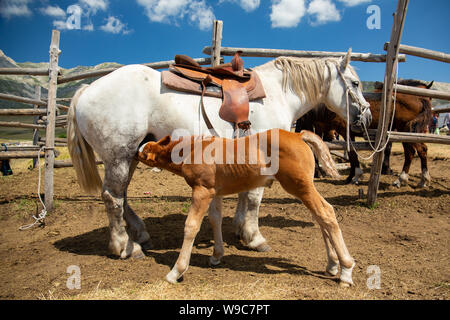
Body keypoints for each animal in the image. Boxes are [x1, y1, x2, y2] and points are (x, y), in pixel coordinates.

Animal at [67, 49, 370, 260]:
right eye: (355, 83)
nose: (365, 115)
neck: (277, 94)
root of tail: (87, 89)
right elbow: (254, 198)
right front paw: (255, 237)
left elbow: (245, 194)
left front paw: (241, 229)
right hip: (119, 156)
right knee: (113, 197)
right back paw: (124, 246)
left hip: (130, 156)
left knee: (122, 196)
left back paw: (140, 235)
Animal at [137, 129, 356, 286]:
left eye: (145, 151)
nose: (133, 152)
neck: (194, 150)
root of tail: (298, 134)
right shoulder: (214, 192)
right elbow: (215, 219)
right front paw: (216, 256)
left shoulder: (201, 191)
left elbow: (191, 226)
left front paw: (176, 272)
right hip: (304, 188)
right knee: (321, 217)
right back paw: (332, 264)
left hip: (300, 187)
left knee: (326, 213)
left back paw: (346, 271)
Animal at [298, 79, 434, 188]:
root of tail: (419, 98)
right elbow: (351, 154)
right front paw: (351, 176)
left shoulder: (345, 132)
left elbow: (352, 153)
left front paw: (356, 176)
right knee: (416, 151)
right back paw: (415, 179)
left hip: (405, 130)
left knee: (415, 151)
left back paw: (409, 179)